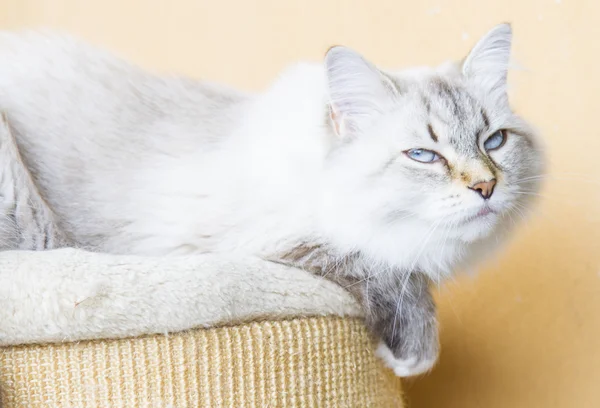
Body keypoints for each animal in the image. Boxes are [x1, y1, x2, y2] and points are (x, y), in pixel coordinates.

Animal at [0, 23, 544, 376]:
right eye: (424, 156)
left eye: (494, 142)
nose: (485, 186)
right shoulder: (251, 244)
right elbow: (378, 266)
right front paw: (415, 352)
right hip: (32, 220)